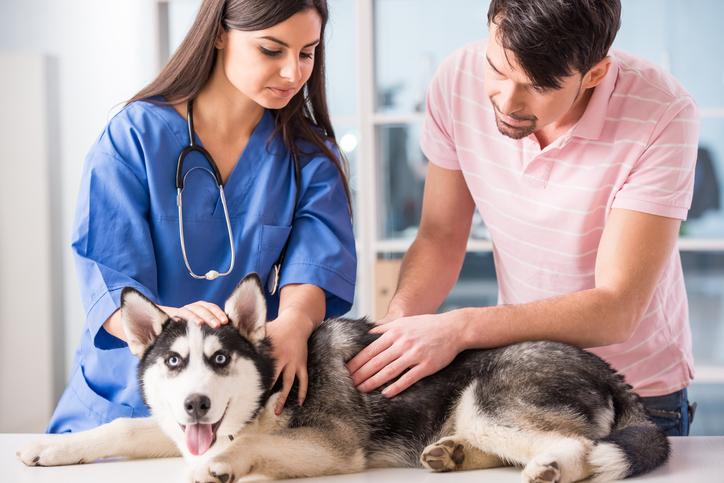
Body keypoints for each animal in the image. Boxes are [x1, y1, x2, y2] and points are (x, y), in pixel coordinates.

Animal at [17, 274, 672, 482]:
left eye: (221, 359)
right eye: (175, 362)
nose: (197, 405)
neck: (267, 389)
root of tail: (603, 365)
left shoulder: (331, 446)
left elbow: (248, 448)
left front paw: (224, 465)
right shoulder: (176, 427)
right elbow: (120, 429)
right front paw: (49, 447)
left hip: (490, 401)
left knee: (577, 447)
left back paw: (548, 467)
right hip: (472, 413)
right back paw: (453, 454)